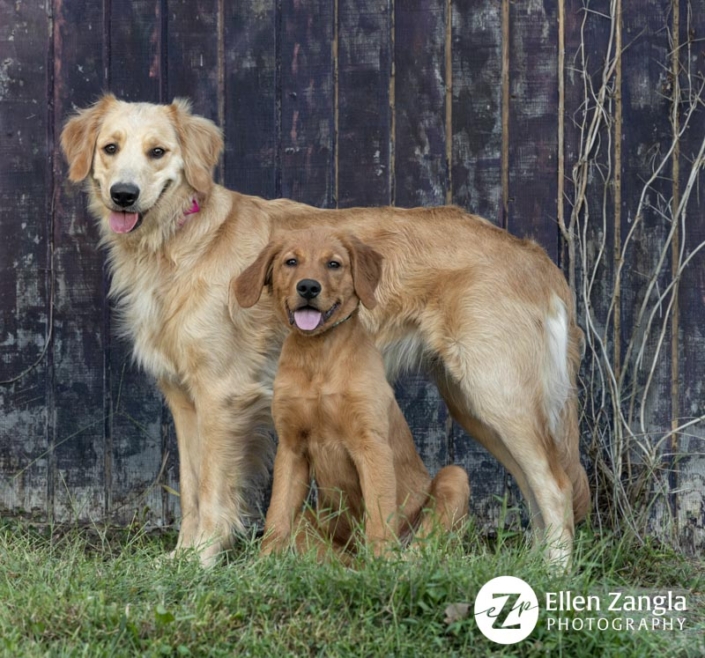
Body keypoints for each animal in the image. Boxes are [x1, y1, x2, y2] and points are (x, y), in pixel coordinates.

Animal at [234, 228, 470, 556]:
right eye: (290, 262)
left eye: (334, 264)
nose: (308, 287)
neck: (318, 354)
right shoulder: (291, 446)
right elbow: (277, 516)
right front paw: (264, 562)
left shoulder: (371, 443)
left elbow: (379, 516)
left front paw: (381, 563)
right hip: (311, 522)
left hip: (454, 478)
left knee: (422, 546)